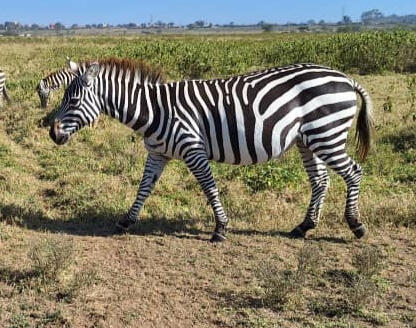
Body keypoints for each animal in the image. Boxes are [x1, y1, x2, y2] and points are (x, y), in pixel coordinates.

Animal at [48, 59, 374, 242]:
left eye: (72, 101)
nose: (52, 133)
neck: (155, 111)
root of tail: (345, 77)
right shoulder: (157, 152)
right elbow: (144, 188)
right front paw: (126, 221)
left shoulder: (193, 149)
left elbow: (209, 187)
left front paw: (220, 229)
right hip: (309, 140)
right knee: (320, 181)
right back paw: (304, 227)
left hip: (327, 134)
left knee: (354, 172)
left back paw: (356, 225)